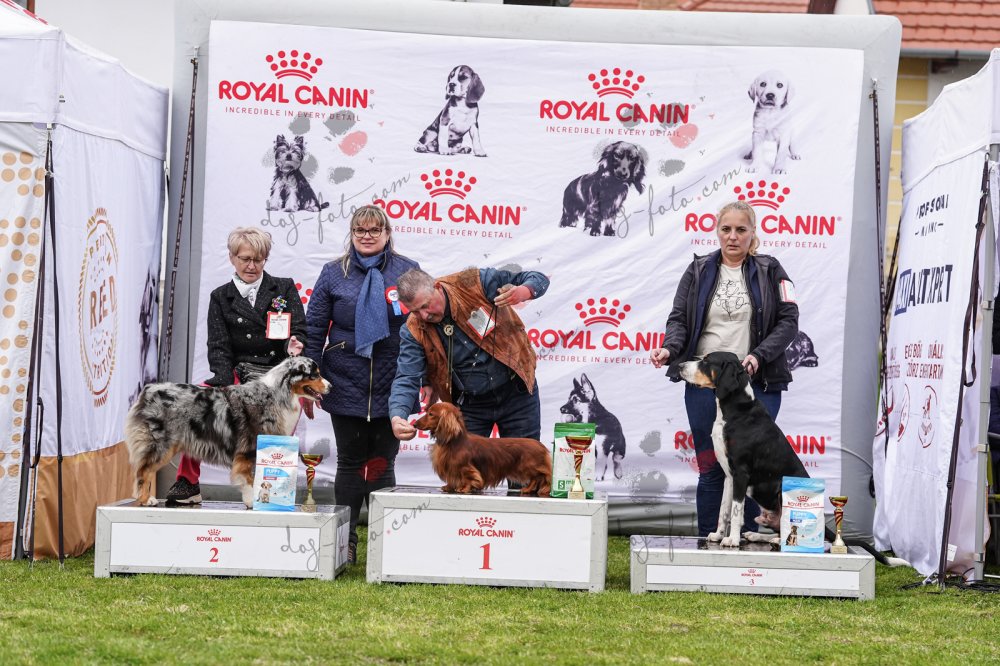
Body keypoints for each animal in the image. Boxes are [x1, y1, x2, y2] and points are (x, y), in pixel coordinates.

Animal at [125, 356, 330, 508]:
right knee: (143, 470)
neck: (279, 394)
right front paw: (251, 502)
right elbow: (249, 479)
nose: (331, 386)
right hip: (161, 444)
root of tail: (149, 389)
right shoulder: (247, 450)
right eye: (315, 375)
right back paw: (146, 500)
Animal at [413, 402, 551, 496]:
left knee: (541, 476)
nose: (414, 424)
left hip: (527, 466)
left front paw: (464, 488)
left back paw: (531, 488)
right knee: (537, 478)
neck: (454, 442)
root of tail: (541, 446)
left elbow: (469, 478)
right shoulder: (451, 467)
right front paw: (449, 486)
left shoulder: (465, 467)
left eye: (431, 414)